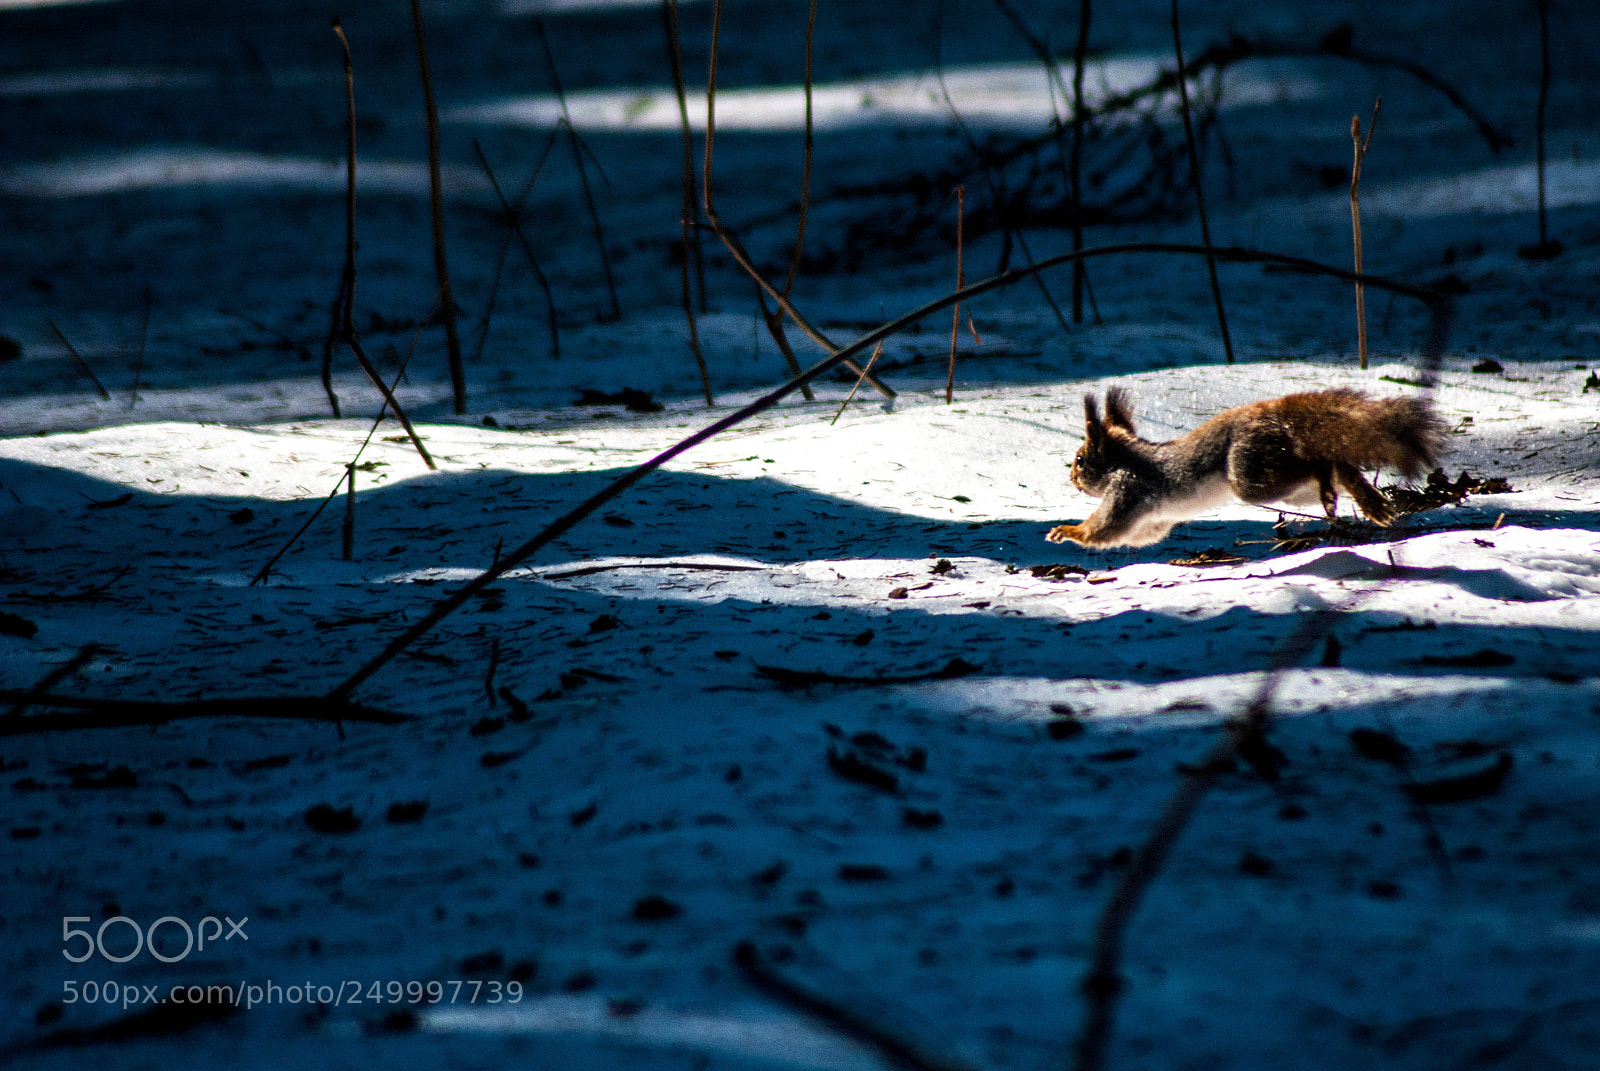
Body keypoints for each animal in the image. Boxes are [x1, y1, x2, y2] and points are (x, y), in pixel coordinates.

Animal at [1045, 387, 1447, 548]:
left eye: (1081, 460)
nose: (1071, 477)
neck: (1128, 458)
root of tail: (1274, 411)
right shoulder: (1151, 520)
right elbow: (1133, 537)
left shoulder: (1127, 489)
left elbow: (1104, 529)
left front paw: (1065, 530)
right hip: (1285, 482)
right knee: (1332, 465)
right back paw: (1350, 496)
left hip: (1251, 475)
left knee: (1321, 460)